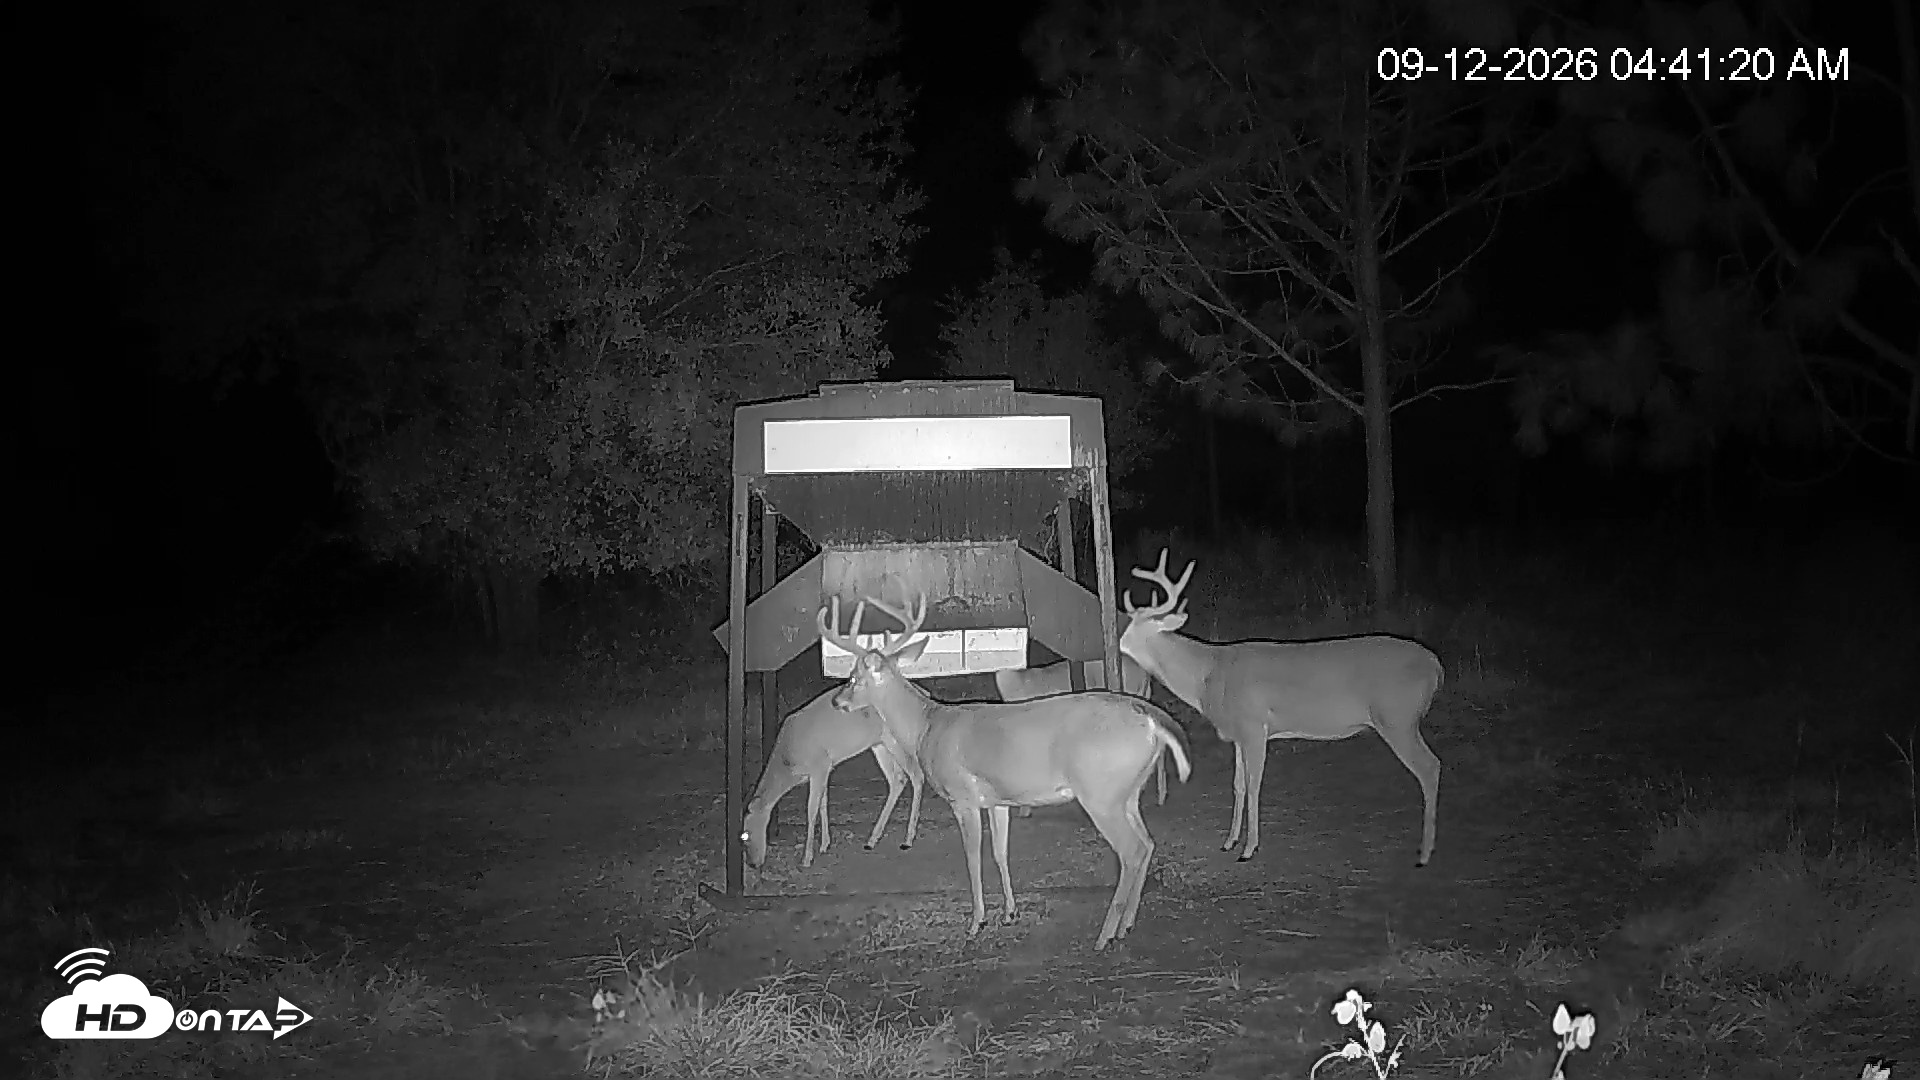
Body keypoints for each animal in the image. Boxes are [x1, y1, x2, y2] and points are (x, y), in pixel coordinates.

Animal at [741, 683, 923, 870]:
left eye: (745, 835)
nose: (753, 864)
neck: (788, 762)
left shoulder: (819, 765)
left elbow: (811, 809)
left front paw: (807, 858)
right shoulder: (825, 769)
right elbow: (823, 802)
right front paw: (824, 844)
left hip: (898, 739)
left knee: (917, 775)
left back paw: (908, 839)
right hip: (879, 743)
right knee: (898, 779)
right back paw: (872, 839)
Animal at [1120, 549, 1444, 866]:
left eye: (1136, 625)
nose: (1118, 643)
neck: (1208, 676)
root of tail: (1436, 666)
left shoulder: (1254, 726)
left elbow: (1254, 785)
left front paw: (1248, 849)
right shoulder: (1239, 734)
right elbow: (1238, 785)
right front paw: (1229, 842)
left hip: (1397, 719)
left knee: (1430, 767)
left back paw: (1425, 853)